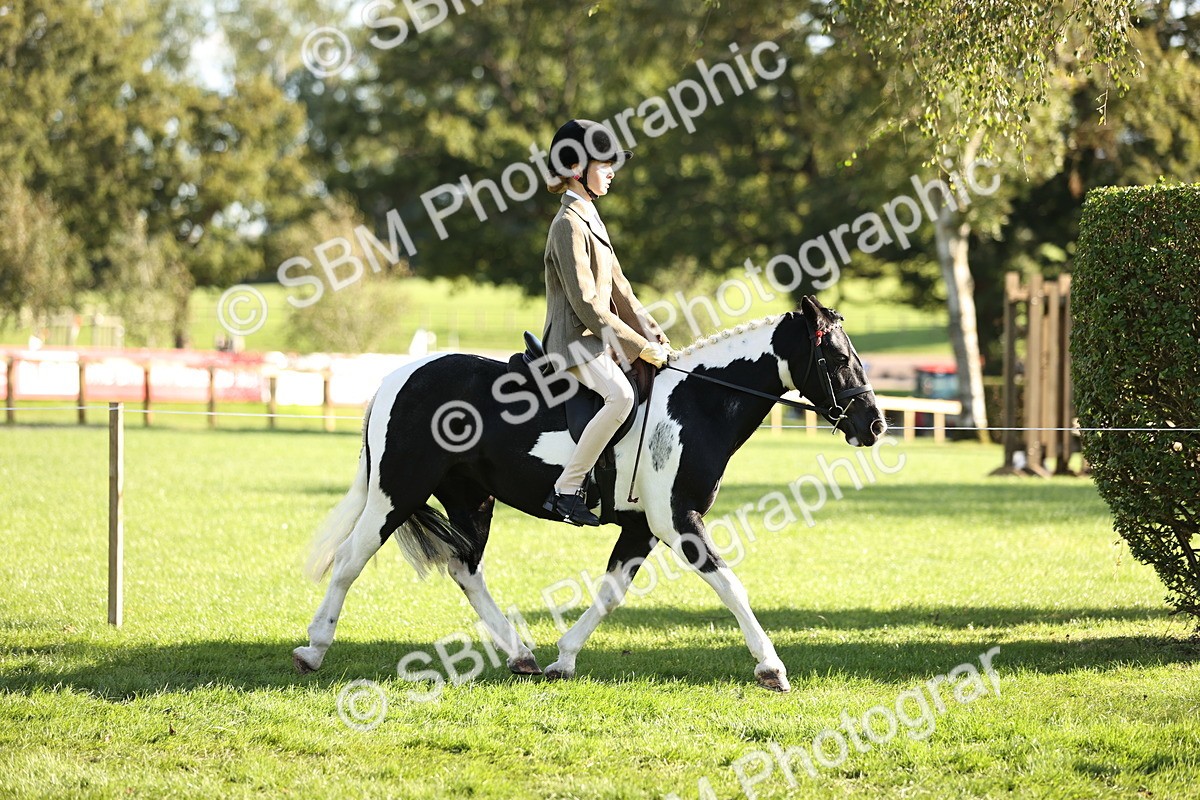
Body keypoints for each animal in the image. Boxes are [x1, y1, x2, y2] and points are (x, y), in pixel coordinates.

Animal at [293, 296, 886, 692]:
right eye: (837, 358)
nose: (875, 424)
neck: (696, 404)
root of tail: (401, 376)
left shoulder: (644, 528)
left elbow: (611, 594)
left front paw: (564, 659)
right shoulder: (678, 521)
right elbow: (731, 585)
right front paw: (771, 668)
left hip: (470, 497)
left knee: (465, 569)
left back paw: (521, 656)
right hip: (397, 491)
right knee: (350, 561)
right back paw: (314, 649)